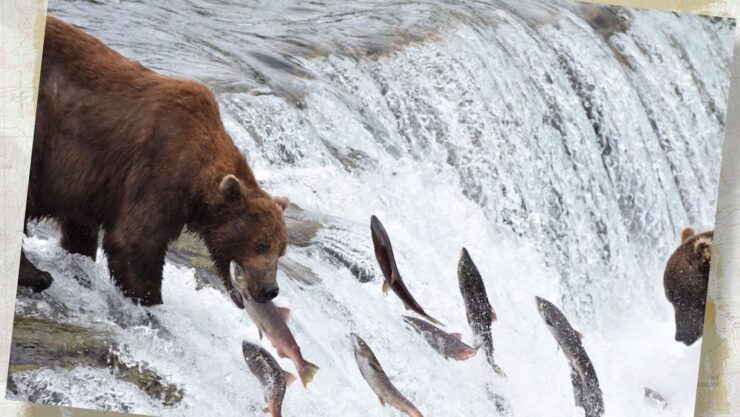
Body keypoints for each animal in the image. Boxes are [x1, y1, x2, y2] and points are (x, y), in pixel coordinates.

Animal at [18, 16, 288, 306]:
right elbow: (135, 241)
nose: (271, 289)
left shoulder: (91, 187)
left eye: (281, 250)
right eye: (261, 244)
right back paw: (38, 276)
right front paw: (150, 299)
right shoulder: (157, 165)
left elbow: (80, 229)